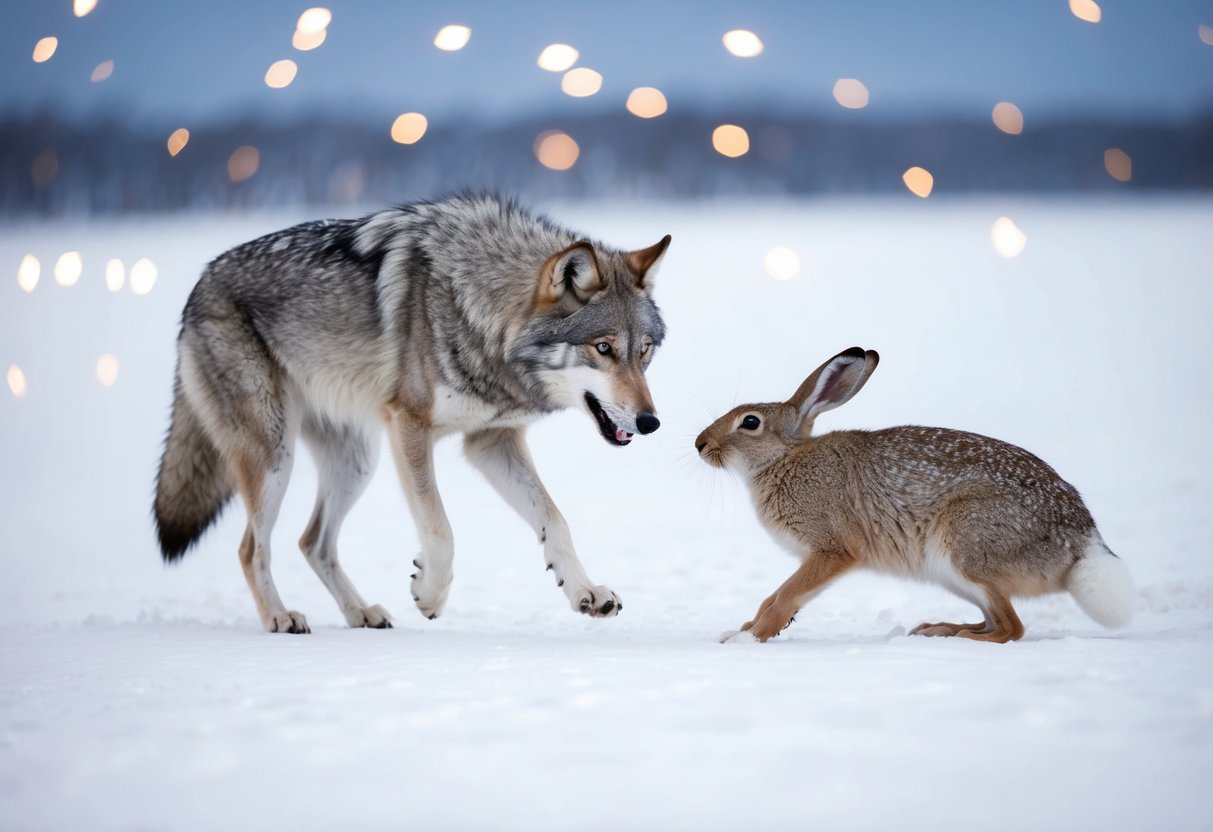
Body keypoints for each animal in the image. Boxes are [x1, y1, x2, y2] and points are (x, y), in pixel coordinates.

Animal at [153, 193, 670, 633]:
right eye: (603, 348)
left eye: (644, 352)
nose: (650, 423)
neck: (477, 307)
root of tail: (199, 284)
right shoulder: (410, 427)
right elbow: (441, 531)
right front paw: (429, 594)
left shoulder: (491, 441)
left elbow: (555, 520)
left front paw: (585, 590)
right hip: (275, 455)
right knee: (250, 548)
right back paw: (280, 617)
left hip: (357, 461)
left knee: (312, 541)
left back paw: (360, 612)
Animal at [695, 347, 1134, 644]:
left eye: (750, 422)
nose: (701, 444)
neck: (784, 458)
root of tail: (1081, 541)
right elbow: (773, 596)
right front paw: (745, 628)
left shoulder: (833, 550)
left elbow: (785, 595)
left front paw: (748, 638)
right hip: (953, 573)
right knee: (996, 618)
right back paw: (939, 628)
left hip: (966, 546)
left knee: (1012, 627)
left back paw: (960, 638)